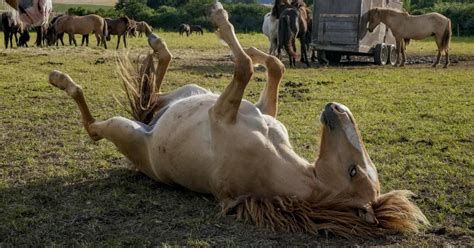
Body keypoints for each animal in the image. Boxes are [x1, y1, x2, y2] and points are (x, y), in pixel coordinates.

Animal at [49, 2, 430, 237]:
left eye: (355, 171)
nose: (336, 110)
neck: (278, 161)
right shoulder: (258, 110)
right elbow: (273, 66)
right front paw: (256, 45)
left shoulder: (220, 112)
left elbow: (245, 67)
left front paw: (221, 19)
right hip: (185, 92)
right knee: (154, 89)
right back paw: (156, 42)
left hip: (123, 129)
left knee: (95, 127)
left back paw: (61, 79)